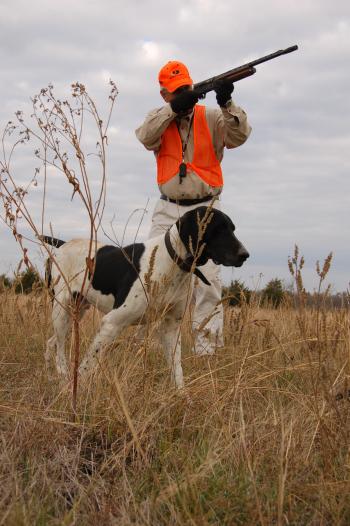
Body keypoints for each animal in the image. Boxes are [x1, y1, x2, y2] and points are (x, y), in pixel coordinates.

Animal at [44, 206, 249, 388]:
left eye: (232, 229)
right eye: (218, 229)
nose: (245, 255)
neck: (171, 262)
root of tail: (63, 244)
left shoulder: (170, 328)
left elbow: (177, 370)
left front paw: (183, 397)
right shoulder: (112, 323)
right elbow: (86, 367)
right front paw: (74, 391)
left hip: (75, 312)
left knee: (51, 342)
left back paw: (53, 375)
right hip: (61, 311)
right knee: (59, 350)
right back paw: (63, 378)